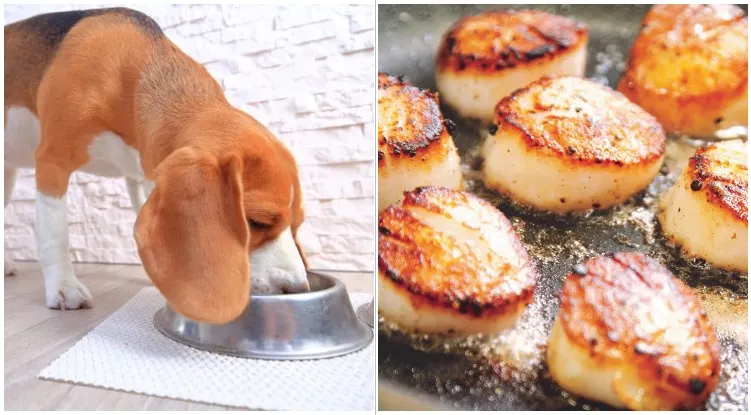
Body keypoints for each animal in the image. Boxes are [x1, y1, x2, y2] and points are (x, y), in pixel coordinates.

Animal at [4, 7, 310, 324]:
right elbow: (55, 234)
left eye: (297, 224)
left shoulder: (144, 176)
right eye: (256, 222)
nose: (298, 289)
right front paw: (64, 287)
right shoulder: (52, 160)